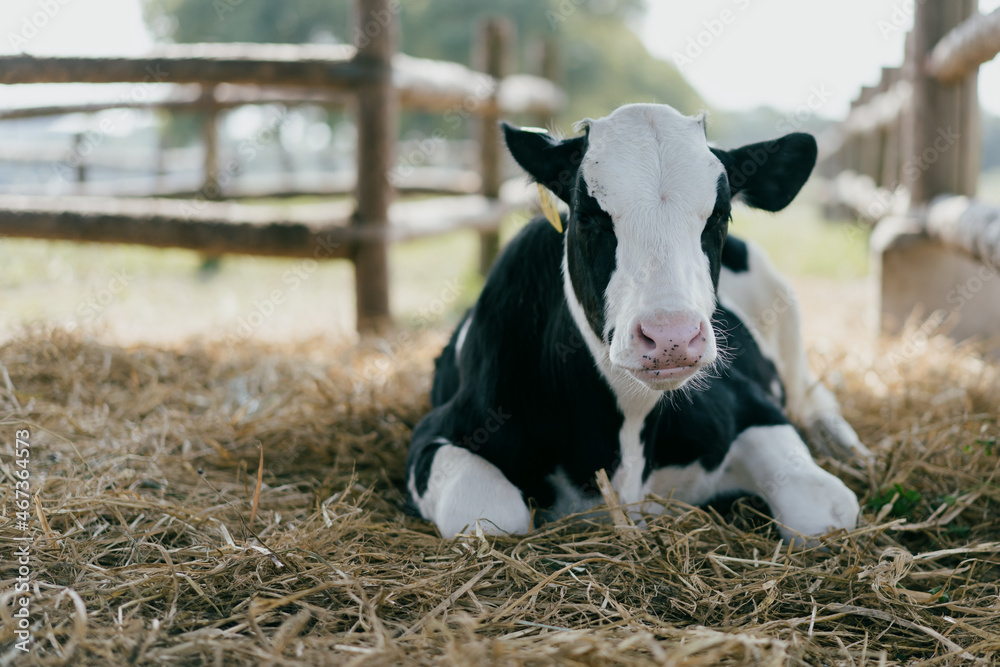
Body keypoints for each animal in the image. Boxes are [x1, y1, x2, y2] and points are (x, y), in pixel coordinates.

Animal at [406, 103, 868, 544]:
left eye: (720, 216)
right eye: (587, 215)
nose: (671, 337)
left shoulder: (753, 406)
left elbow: (826, 507)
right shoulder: (442, 432)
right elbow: (489, 514)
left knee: (815, 397)